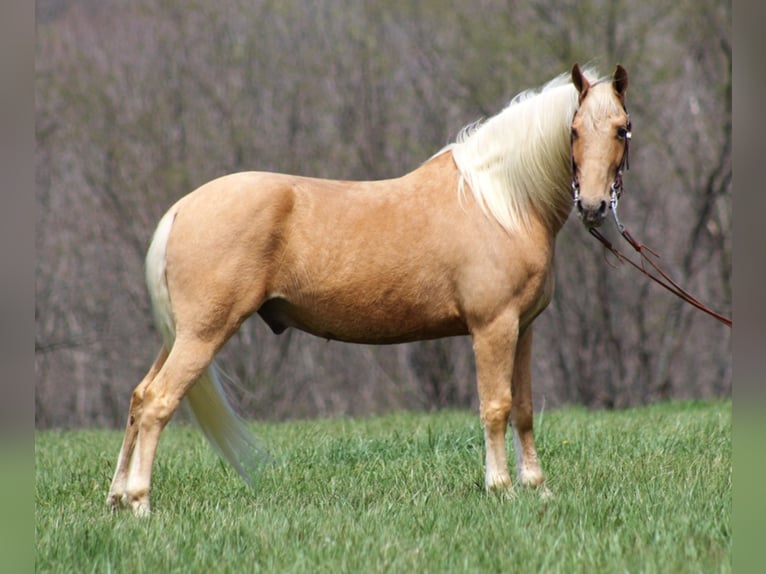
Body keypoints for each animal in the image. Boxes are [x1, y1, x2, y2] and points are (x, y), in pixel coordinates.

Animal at [109, 64, 636, 516]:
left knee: (139, 397)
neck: (500, 201)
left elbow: (523, 408)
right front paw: (501, 488)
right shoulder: (493, 327)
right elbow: (496, 407)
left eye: (622, 128)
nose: (593, 206)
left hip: (180, 335)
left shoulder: (523, 329)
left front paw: (537, 488)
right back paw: (141, 504)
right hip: (203, 334)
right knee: (158, 403)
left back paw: (116, 497)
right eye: (573, 131)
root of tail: (183, 208)